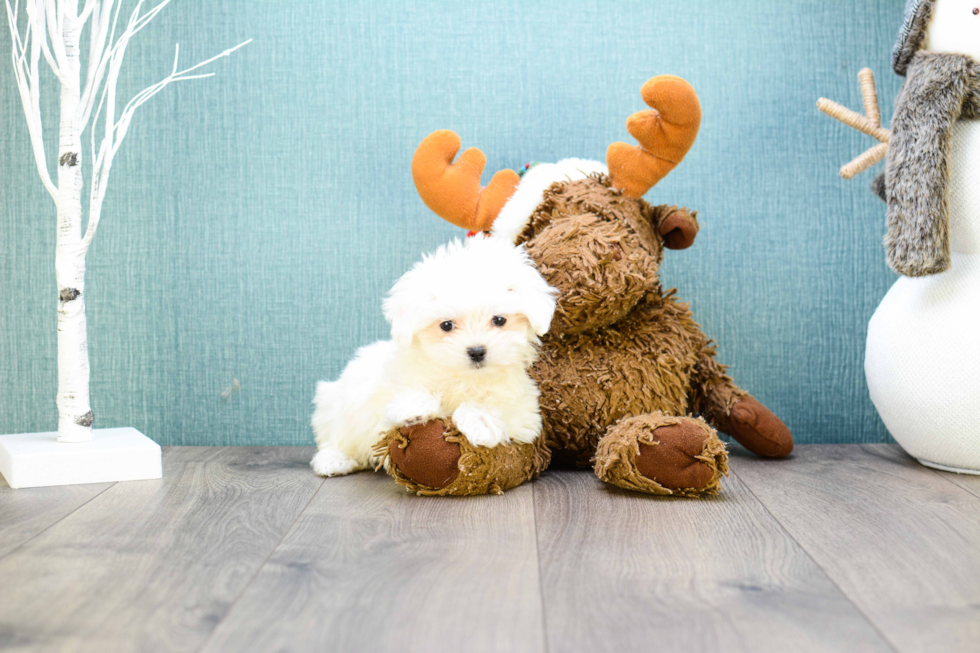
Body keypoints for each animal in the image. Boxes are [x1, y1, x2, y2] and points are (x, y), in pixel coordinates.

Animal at [310, 234, 556, 474]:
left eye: (499, 320)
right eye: (446, 325)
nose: (476, 351)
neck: (464, 377)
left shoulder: (526, 416)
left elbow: (495, 408)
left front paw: (480, 421)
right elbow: (404, 394)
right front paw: (414, 406)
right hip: (338, 405)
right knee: (336, 436)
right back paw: (334, 460)